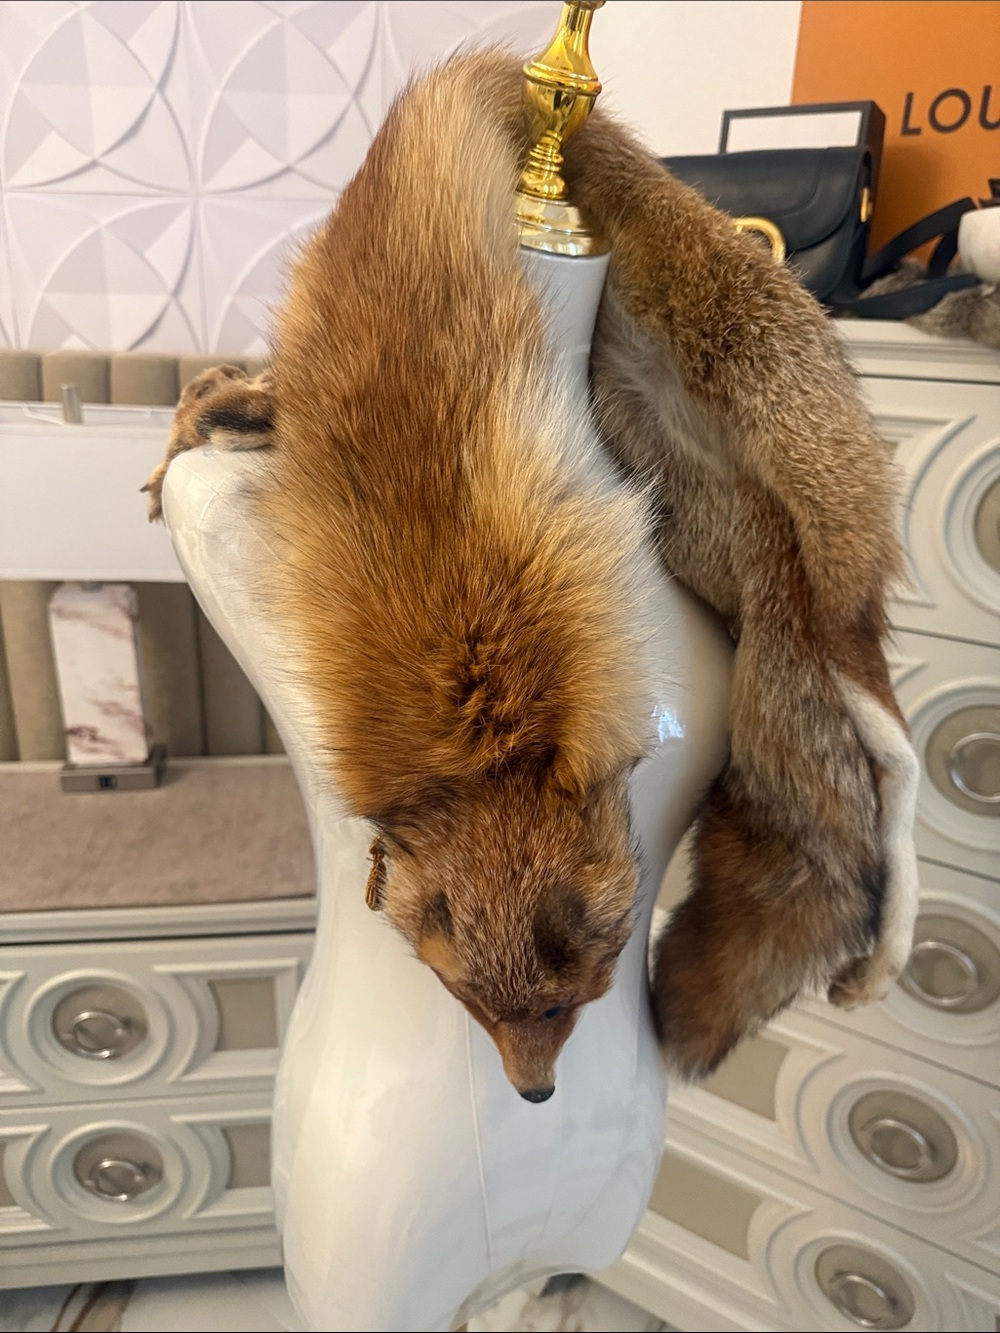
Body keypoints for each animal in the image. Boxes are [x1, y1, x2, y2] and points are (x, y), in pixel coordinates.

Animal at [145, 50, 918, 1096]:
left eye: (564, 1006)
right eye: (475, 1007)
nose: (536, 1090)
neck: (484, 732)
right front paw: (204, 424)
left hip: (809, 522)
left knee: (877, 732)